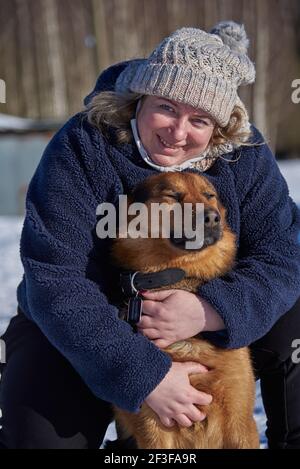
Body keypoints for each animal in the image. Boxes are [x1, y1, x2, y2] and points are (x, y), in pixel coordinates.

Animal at [111, 170, 258, 448]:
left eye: (209, 195)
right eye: (172, 196)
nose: (212, 217)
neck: (179, 276)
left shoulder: (240, 422)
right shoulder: (153, 425)